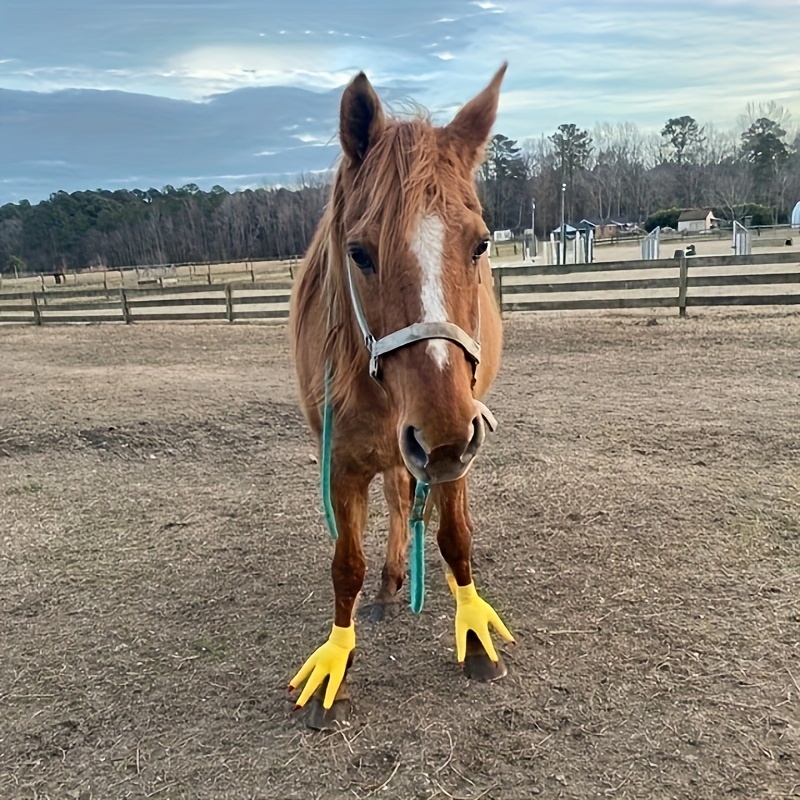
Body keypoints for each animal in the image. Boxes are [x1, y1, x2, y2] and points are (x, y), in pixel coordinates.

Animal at [288, 62, 512, 724]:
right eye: (359, 253)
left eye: (481, 244)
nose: (438, 436)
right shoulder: (340, 462)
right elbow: (346, 567)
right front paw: (336, 660)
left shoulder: (459, 447)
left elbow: (455, 539)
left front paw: (474, 637)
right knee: (394, 496)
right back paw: (391, 583)